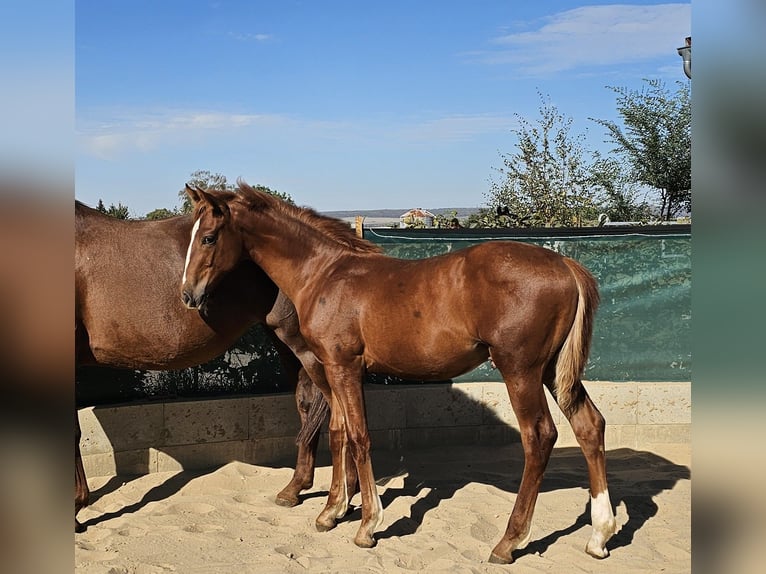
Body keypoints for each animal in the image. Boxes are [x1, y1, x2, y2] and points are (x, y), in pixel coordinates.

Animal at [180, 182, 617, 565]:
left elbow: (358, 437)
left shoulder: (342, 367)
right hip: (552, 371)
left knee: (539, 437)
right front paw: (332, 511)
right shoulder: (334, 370)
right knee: (589, 425)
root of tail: (565, 263)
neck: (326, 274)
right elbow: (338, 432)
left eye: (209, 238)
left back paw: (508, 542)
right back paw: (599, 536)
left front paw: (367, 525)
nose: (188, 295)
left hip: (520, 370)